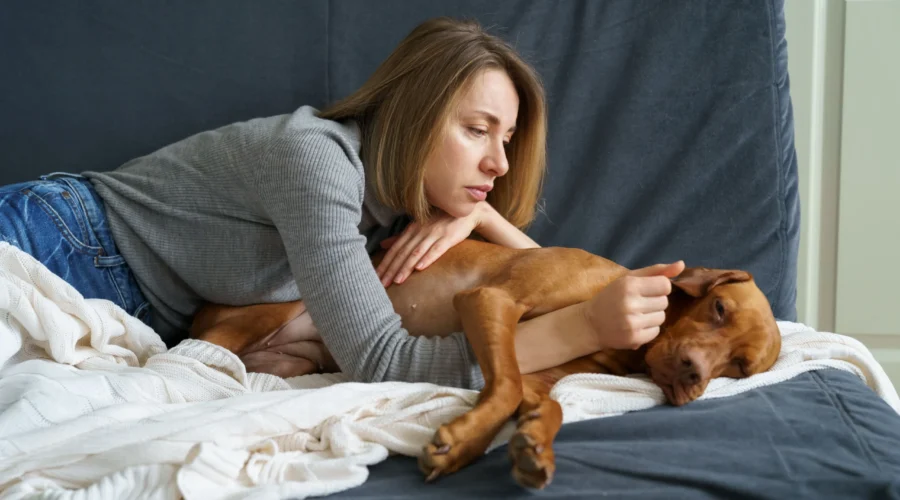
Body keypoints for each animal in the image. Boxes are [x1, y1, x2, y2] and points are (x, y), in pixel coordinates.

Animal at [190, 238, 780, 488]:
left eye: (739, 368)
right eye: (719, 309)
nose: (693, 374)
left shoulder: (542, 375)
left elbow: (543, 403)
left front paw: (533, 444)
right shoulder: (490, 301)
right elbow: (506, 386)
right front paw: (461, 443)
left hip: (293, 359)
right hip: (265, 310)